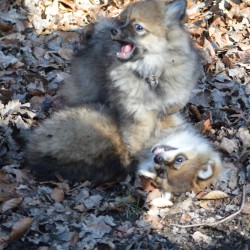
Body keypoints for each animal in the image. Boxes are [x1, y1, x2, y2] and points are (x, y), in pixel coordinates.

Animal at [59, 0, 203, 154]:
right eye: (123, 22)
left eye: (138, 27)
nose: (113, 30)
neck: (151, 73)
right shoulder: (137, 114)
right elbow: (137, 139)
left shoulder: (176, 94)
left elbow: (173, 106)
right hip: (88, 87)